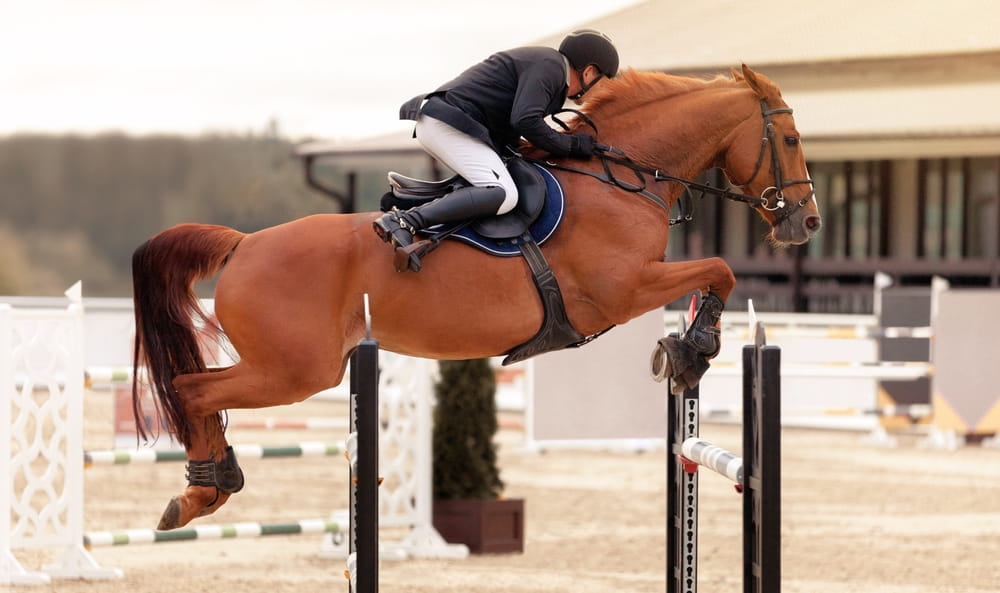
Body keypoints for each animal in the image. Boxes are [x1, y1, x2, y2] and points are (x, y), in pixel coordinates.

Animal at [131, 64, 821, 530]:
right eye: (790, 141)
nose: (807, 223)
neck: (624, 180)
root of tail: (242, 244)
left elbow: (714, 273)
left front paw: (684, 351)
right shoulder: (623, 289)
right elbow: (720, 268)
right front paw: (694, 348)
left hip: (293, 368)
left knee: (199, 393)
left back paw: (212, 484)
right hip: (296, 371)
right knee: (193, 391)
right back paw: (200, 492)